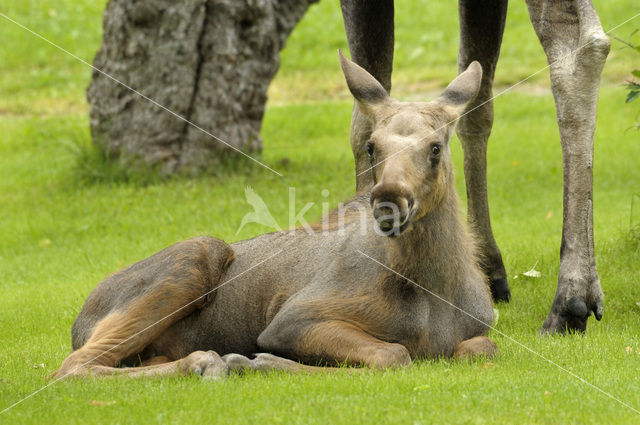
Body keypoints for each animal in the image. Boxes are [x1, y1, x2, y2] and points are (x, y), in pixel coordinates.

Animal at [52, 53, 498, 378]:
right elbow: (395, 355)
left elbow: (480, 347)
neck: (431, 285)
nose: (388, 198)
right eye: (372, 146)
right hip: (200, 251)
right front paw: (258, 361)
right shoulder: (291, 320)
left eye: (436, 147)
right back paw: (207, 362)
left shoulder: (484, 330)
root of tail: (79, 321)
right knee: (72, 367)